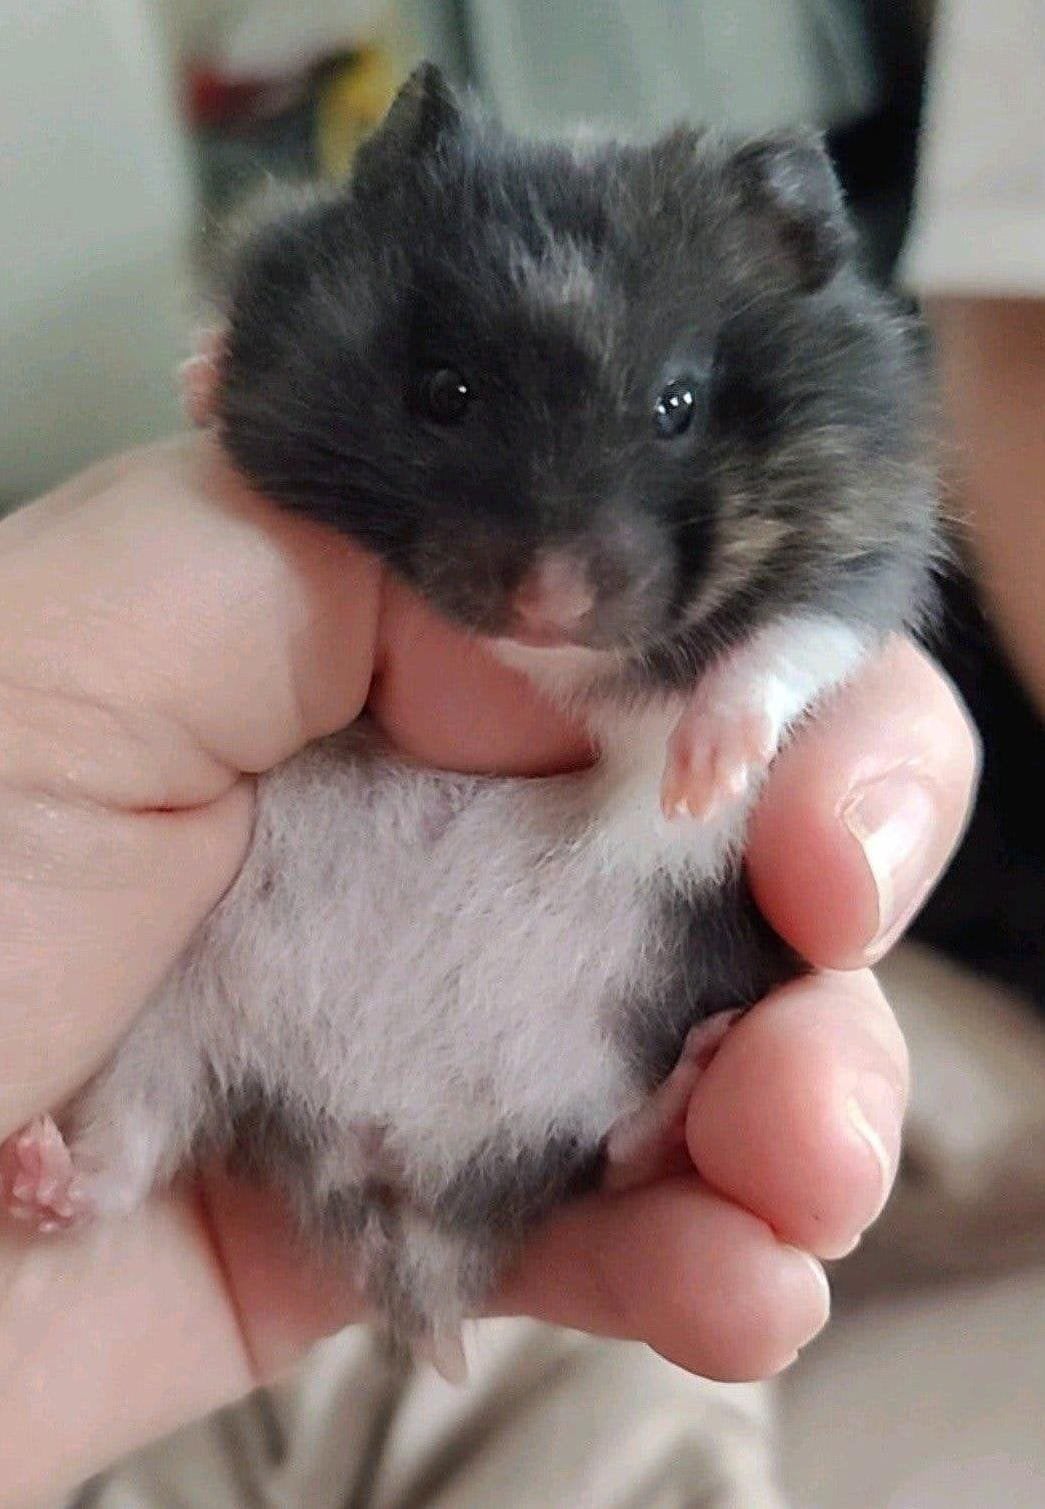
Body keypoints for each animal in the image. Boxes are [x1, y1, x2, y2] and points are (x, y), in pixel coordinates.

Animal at [1, 65, 935, 1374]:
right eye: (444, 392)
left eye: (678, 405)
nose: (547, 603)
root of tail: (395, 1169)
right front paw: (199, 373)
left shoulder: (864, 556)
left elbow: (781, 652)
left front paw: (699, 776)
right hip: (168, 1021)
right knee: (128, 1158)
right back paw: (34, 1173)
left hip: (623, 1018)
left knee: (612, 1151)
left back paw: (693, 1084)